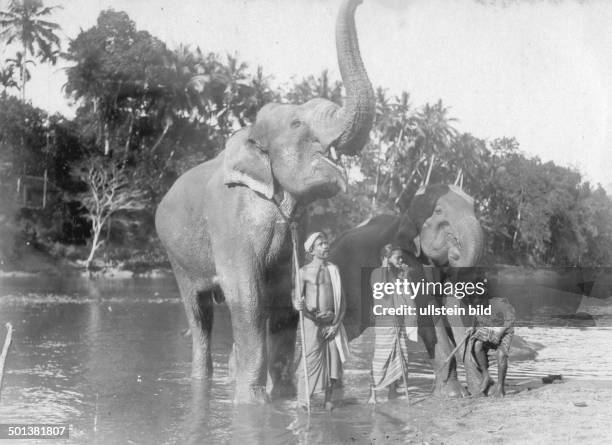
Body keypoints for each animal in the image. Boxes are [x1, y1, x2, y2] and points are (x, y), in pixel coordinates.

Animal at [155, 0, 376, 402]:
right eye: (297, 125)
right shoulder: (229, 221)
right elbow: (249, 297)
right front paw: (252, 402)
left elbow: (286, 299)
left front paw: (285, 396)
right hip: (174, 254)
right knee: (199, 314)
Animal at [332, 182, 486, 398]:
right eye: (439, 211)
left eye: (474, 208)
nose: (455, 251)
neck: (406, 214)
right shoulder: (410, 263)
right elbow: (428, 315)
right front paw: (454, 394)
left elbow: (454, 309)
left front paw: (480, 389)